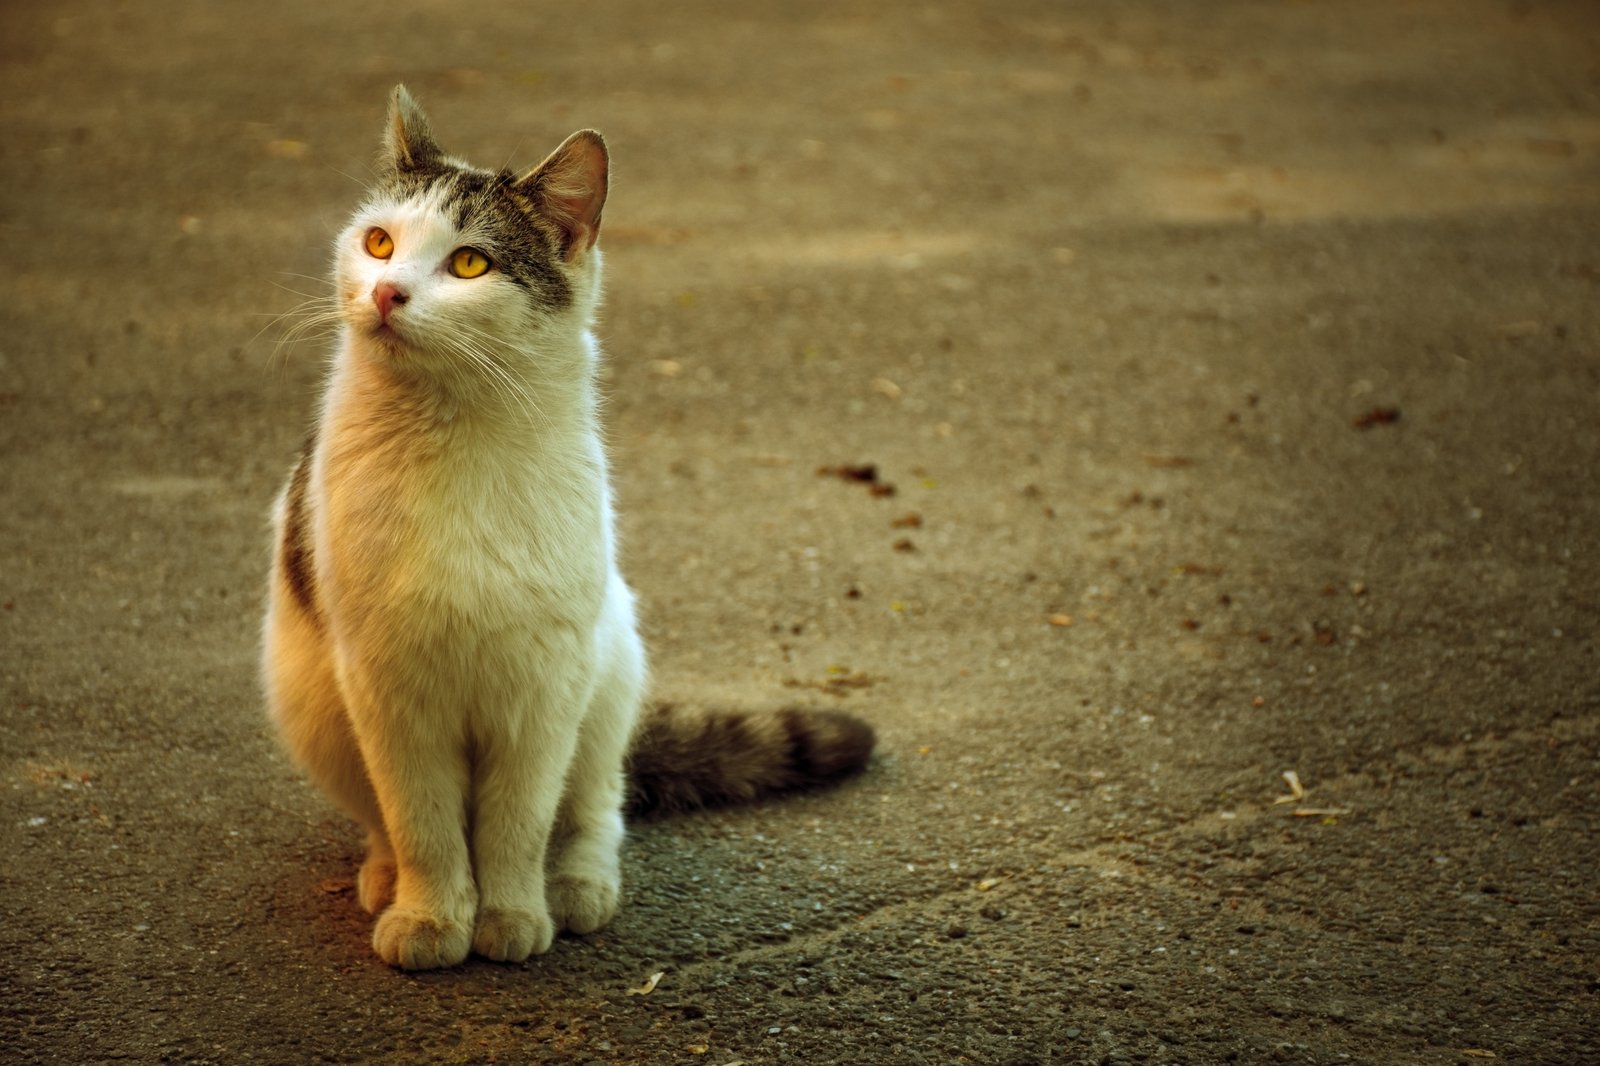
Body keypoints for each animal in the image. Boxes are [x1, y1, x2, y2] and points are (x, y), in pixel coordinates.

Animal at [259, 89, 876, 973]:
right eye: (379, 243)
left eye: (470, 264)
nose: (386, 294)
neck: (456, 438)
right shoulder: (390, 690)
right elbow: (424, 823)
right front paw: (431, 917)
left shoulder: (544, 686)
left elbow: (517, 823)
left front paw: (512, 915)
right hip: (312, 702)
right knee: (382, 817)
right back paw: (382, 876)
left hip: (608, 673)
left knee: (597, 804)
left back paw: (581, 885)